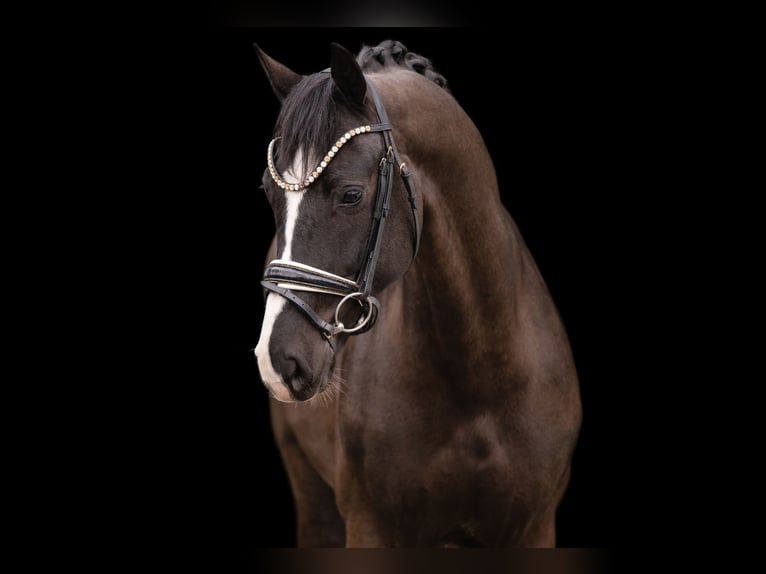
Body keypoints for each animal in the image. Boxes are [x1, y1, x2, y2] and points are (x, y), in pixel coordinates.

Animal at [253, 40, 582, 547]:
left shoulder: (535, 527)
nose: (277, 360)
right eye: (269, 192)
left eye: (351, 194)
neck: (480, 375)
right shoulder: (369, 527)